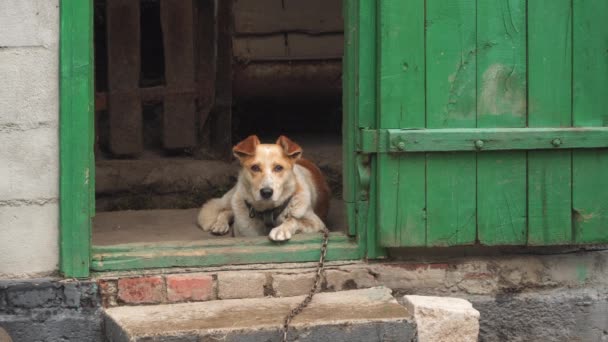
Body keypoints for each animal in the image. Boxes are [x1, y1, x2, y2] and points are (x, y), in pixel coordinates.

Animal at [197, 135, 330, 242]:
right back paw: (220, 225)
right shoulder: (246, 233)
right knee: (226, 210)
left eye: (278, 168)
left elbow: (293, 220)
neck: (268, 212)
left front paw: (281, 230)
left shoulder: (318, 224)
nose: (266, 192)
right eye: (255, 167)